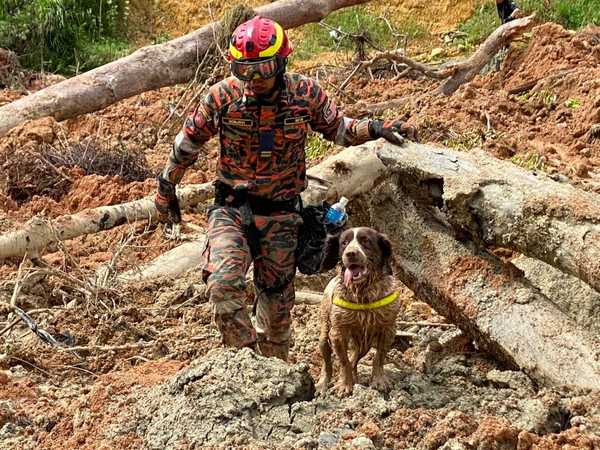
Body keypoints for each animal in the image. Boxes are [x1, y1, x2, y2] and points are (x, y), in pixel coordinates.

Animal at [316, 227, 400, 396]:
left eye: (366, 241)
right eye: (344, 243)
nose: (350, 253)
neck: (363, 293)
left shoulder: (388, 329)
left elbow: (379, 357)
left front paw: (378, 380)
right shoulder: (337, 333)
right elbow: (344, 361)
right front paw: (344, 385)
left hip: (364, 345)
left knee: (355, 358)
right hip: (324, 335)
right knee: (327, 363)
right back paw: (323, 384)